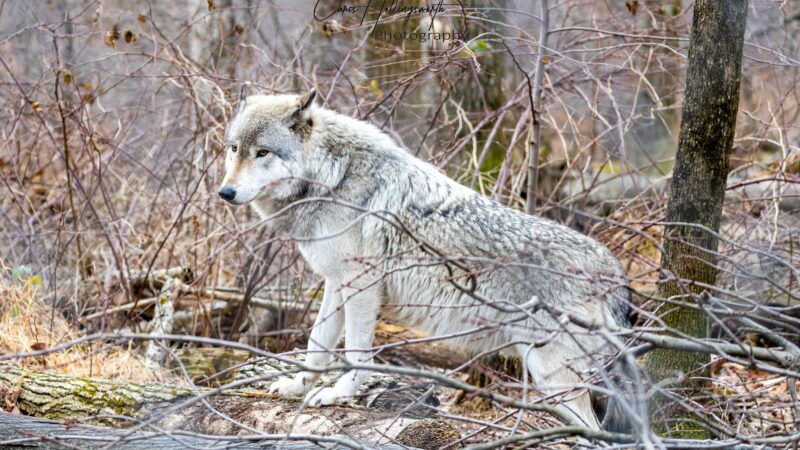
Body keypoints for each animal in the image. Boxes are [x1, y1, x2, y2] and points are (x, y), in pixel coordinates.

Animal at [219, 88, 635, 432]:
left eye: (263, 152)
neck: (332, 178)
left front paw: (341, 393)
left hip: (551, 377)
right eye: (234, 149)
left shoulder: (362, 284)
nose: (225, 192)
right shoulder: (336, 282)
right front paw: (298, 385)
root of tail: (613, 269)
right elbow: (316, 345)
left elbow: (355, 352)